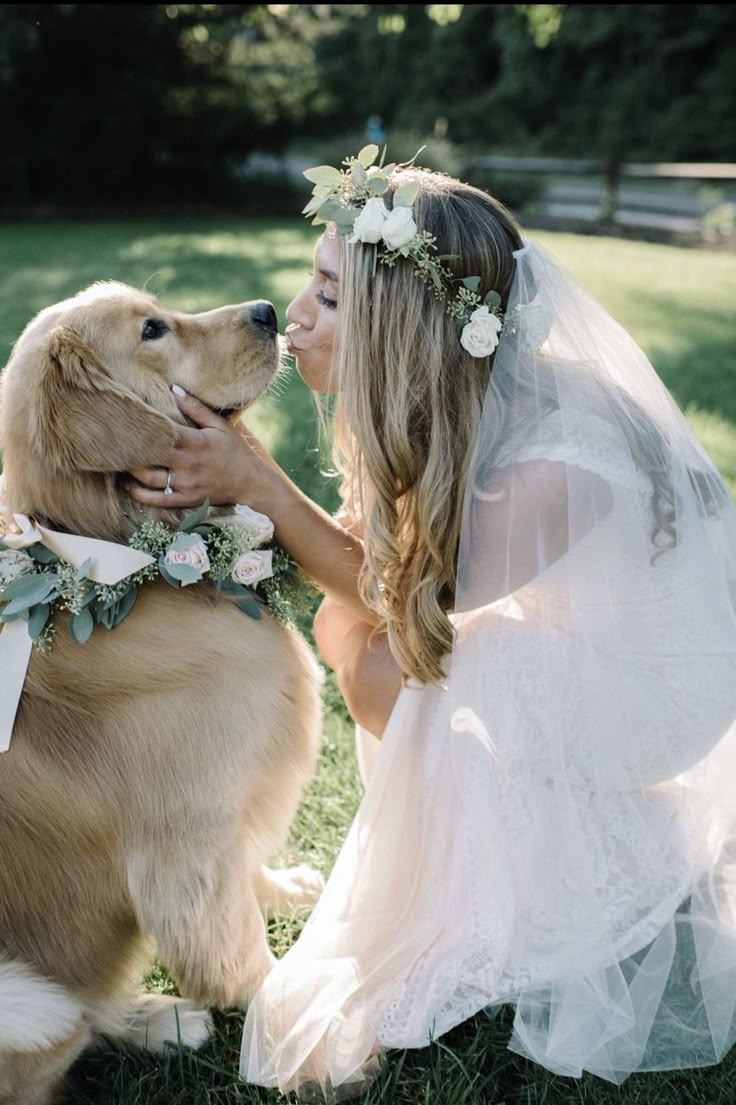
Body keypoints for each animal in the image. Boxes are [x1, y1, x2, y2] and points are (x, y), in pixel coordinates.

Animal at [0, 285, 324, 1105]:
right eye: (152, 329)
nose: (269, 310)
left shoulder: (219, 819)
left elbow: (247, 874)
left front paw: (289, 887)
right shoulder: (185, 846)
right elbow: (238, 949)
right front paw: (301, 1039)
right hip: (19, 1003)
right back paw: (160, 1019)